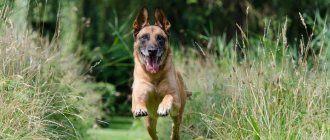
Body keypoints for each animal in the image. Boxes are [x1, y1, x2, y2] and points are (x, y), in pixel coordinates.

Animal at [131, 7, 188, 140]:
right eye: (144, 37)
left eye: (160, 38)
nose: (152, 51)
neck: (154, 76)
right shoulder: (139, 93)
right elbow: (138, 100)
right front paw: (139, 108)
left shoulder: (175, 99)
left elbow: (169, 96)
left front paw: (163, 107)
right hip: (149, 124)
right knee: (154, 135)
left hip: (178, 114)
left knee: (175, 127)